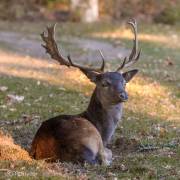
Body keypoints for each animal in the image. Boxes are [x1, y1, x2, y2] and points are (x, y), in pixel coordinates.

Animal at [29, 18, 141, 165]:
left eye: (124, 82)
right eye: (105, 83)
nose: (123, 95)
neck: (105, 132)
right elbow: (109, 152)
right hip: (92, 136)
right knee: (103, 158)